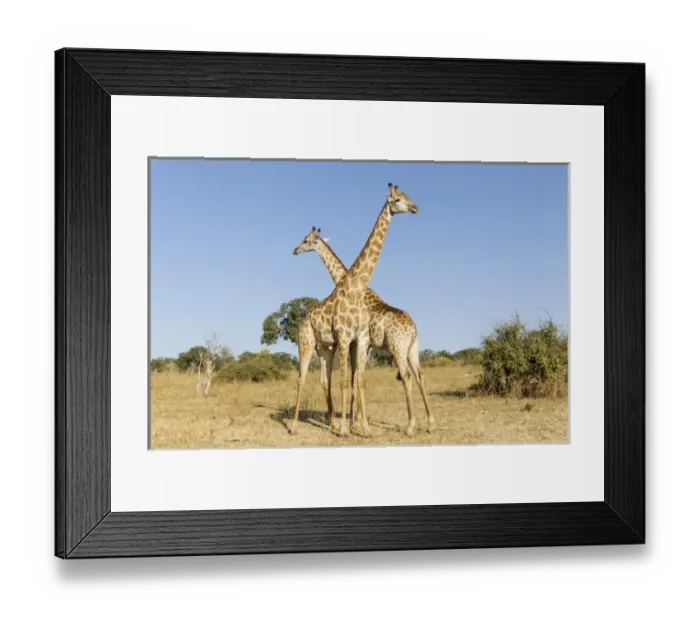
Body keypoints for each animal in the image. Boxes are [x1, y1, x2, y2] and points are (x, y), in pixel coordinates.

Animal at [290, 183, 419, 438]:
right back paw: (295, 426)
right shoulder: (345, 339)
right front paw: (348, 427)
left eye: (404, 197)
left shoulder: (359, 340)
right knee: (302, 379)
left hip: (339, 349)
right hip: (307, 343)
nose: (295, 250)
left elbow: (357, 381)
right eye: (398, 199)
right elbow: (349, 381)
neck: (355, 287)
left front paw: (359, 426)